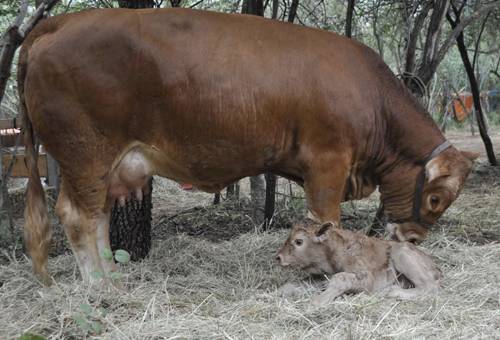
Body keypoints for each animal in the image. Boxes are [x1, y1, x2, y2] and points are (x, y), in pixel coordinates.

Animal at [20, 7, 476, 284]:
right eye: (435, 199)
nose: (414, 240)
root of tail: (62, 22)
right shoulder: (327, 163)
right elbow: (326, 220)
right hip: (84, 155)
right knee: (77, 217)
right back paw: (100, 286)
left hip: (101, 165)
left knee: (96, 217)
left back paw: (112, 277)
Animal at [276, 220, 440, 306]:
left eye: (299, 241)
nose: (278, 257)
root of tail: (436, 267)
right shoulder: (321, 277)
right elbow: (293, 285)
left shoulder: (367, 277)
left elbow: (341, 278)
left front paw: (319, 300)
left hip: (401, 253)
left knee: (430, 286)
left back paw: (394, 292)